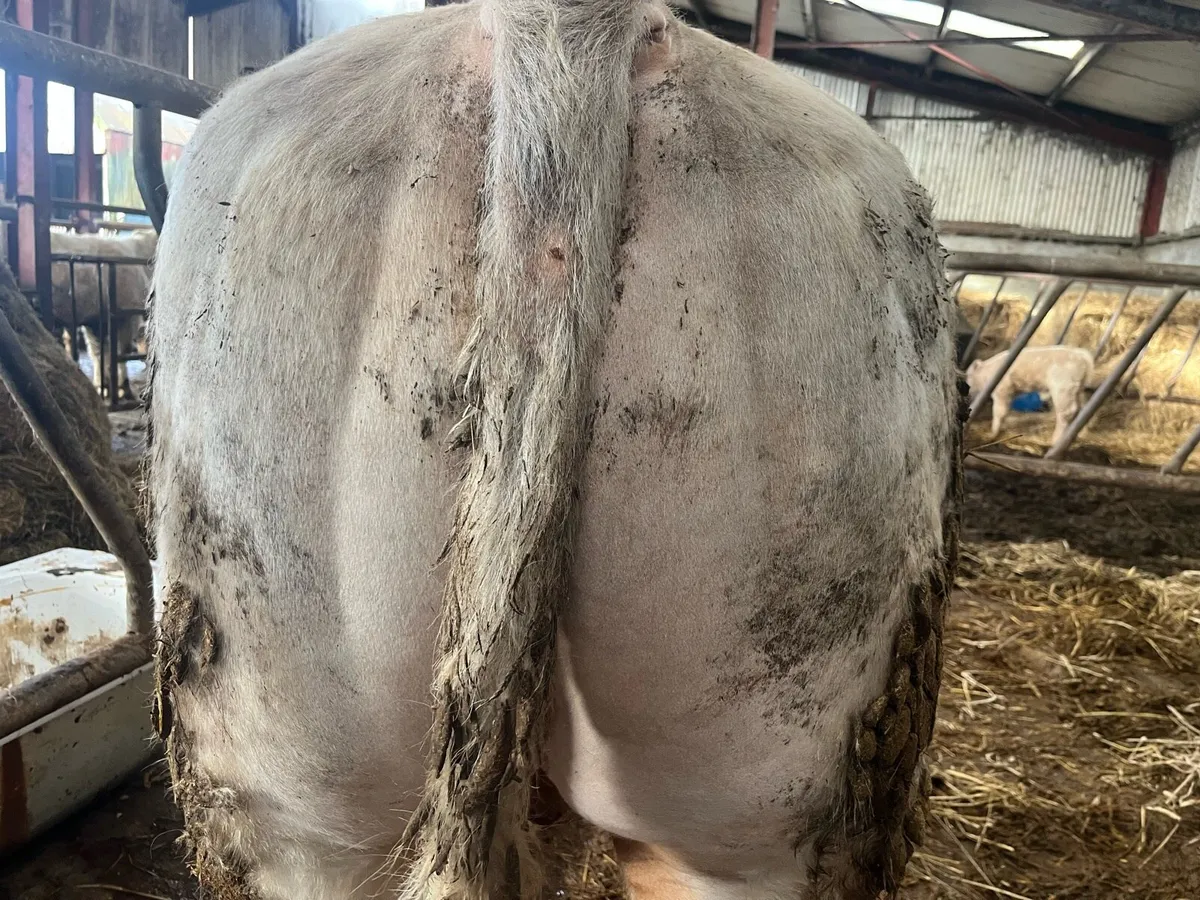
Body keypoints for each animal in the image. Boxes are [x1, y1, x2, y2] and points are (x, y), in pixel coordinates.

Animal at [51, 228, 155, 400]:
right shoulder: (124, 315)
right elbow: (120, 351)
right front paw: (122, 387)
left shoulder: (96, 320)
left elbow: (100, 353)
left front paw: (103, 386)